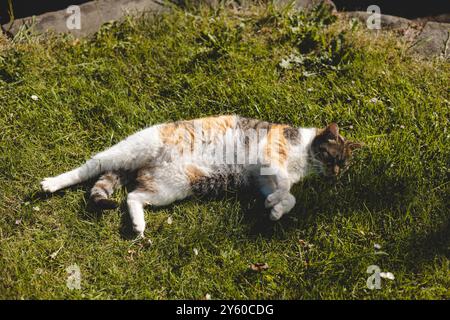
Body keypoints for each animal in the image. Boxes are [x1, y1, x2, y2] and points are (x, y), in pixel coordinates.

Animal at [40, 115, 360, 235]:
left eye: (344, 165)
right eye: (333, 157)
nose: (335, 174)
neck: (304, 155)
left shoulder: (262, 180)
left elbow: (289, 196)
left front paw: (275, 209)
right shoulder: (270, 154)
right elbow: (284, 183)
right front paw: (276, 204)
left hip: (171, 187)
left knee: (133, 197)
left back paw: (139, 225)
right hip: (131, 149)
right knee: (91, 166)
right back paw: (52, 183)